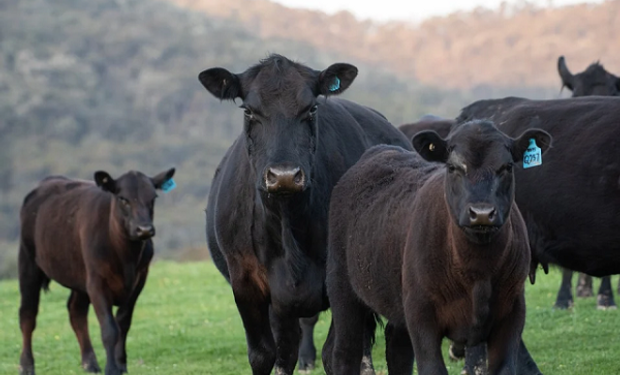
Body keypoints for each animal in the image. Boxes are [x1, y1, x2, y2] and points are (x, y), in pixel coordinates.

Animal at [17, 170, 176, 375]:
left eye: (153, 197)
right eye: (122, 198)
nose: (144, 229)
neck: (126, 258)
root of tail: (47, 181)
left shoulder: (139, 280)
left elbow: (123, 323)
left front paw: (121, 364)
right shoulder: (97, 282)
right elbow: (109, 328)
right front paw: (111, 368)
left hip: (78, 275)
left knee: (76, 312)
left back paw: (90, 363)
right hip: (28, 262)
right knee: (27, 315)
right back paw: (26, 365)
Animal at [200, 53, 412, 375]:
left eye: (311, 108)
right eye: (249, 110)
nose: (284, 175)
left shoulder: (341, 283)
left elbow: (335, 354)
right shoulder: (246, 283)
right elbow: (263, 354)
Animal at [322, 121, 548, 375]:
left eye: (507, 166)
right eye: (452, 167)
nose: (481, 213)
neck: (477, 271)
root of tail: (378, 152)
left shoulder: (512, 314)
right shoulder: (421, 315)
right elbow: (431, 367)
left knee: (398, 352)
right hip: (342, 288)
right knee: (344, 353)